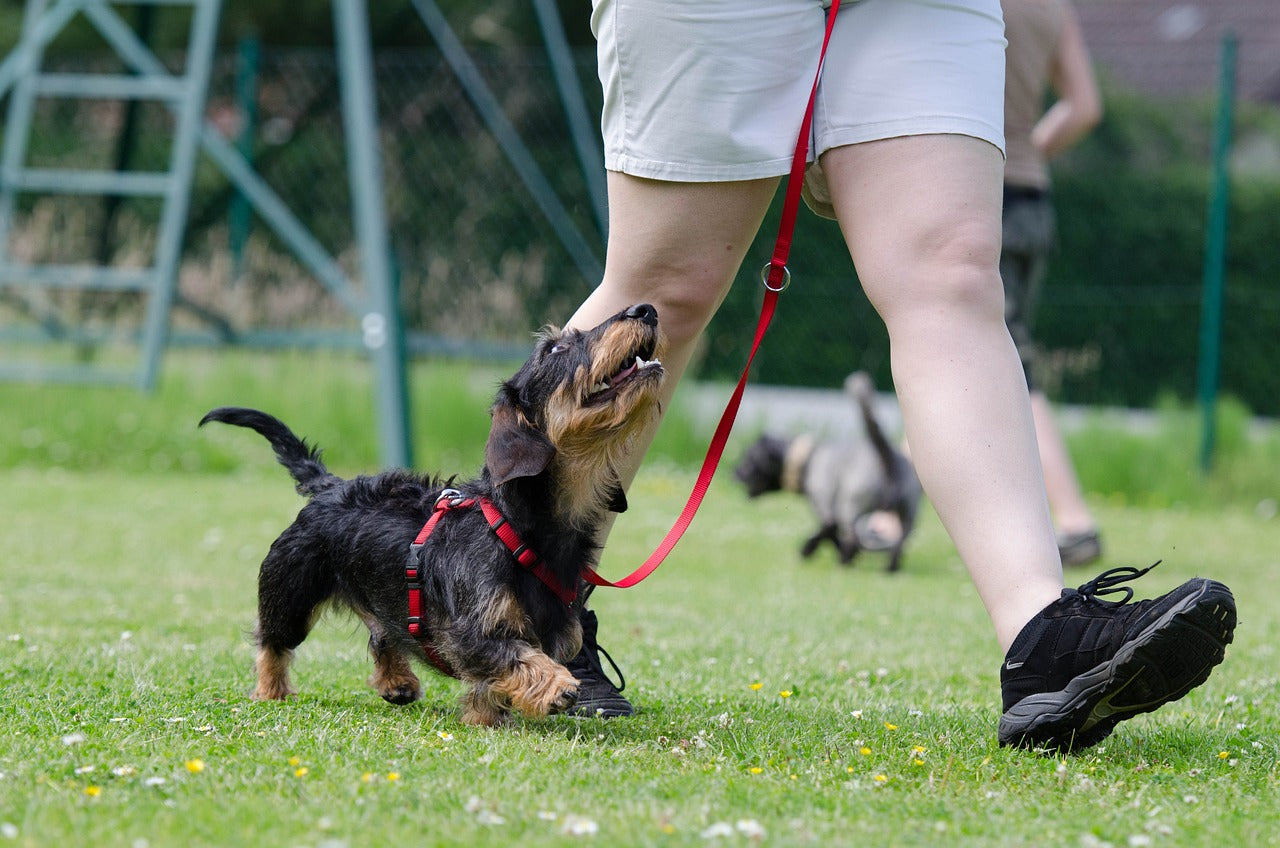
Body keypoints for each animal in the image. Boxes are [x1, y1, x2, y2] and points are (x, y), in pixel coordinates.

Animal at [202, 302, 660, 727]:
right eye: (555, 348)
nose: (645, 310)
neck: (517, 526)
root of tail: (330, 486)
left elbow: (494, 681)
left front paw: (486, 716)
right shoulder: (471, 633)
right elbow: (516, 657)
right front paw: (557, 685)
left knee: (382, 634)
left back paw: (397, 682)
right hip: (290, 593)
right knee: (272, 642)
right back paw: (271, 690)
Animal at [732, 376, 921, 573]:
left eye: (748, 459)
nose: (733, 473)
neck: (807, 459)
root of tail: (887, 456)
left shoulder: (826, 508)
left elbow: (828, 532)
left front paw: (808, 550)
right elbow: (831, 534)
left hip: (850, 506)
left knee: (853, 537)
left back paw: (844, 561)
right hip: (908, 513)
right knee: (899, 543)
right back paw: (889, 569)